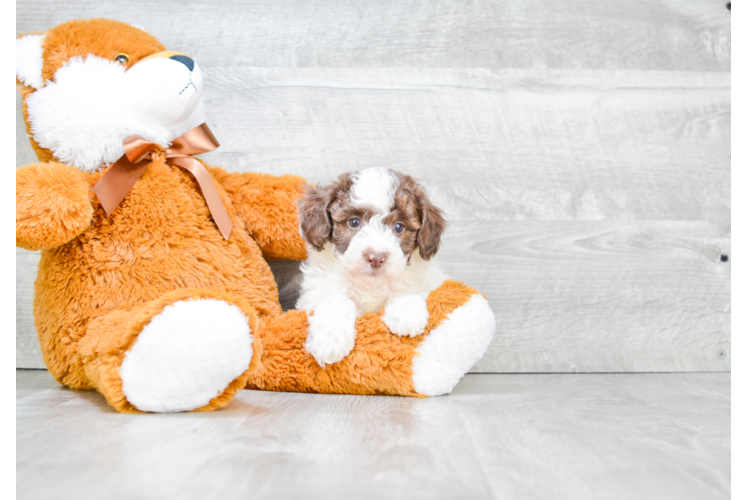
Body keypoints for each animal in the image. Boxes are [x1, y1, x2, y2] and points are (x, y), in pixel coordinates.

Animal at [296, 166, 450, 366]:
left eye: (398, 227)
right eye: (354, 222)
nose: (376, 258)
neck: (369, 285)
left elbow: (405, 286)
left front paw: (406, 310)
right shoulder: (314, 294)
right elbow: (337, 299)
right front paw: (330, 340)